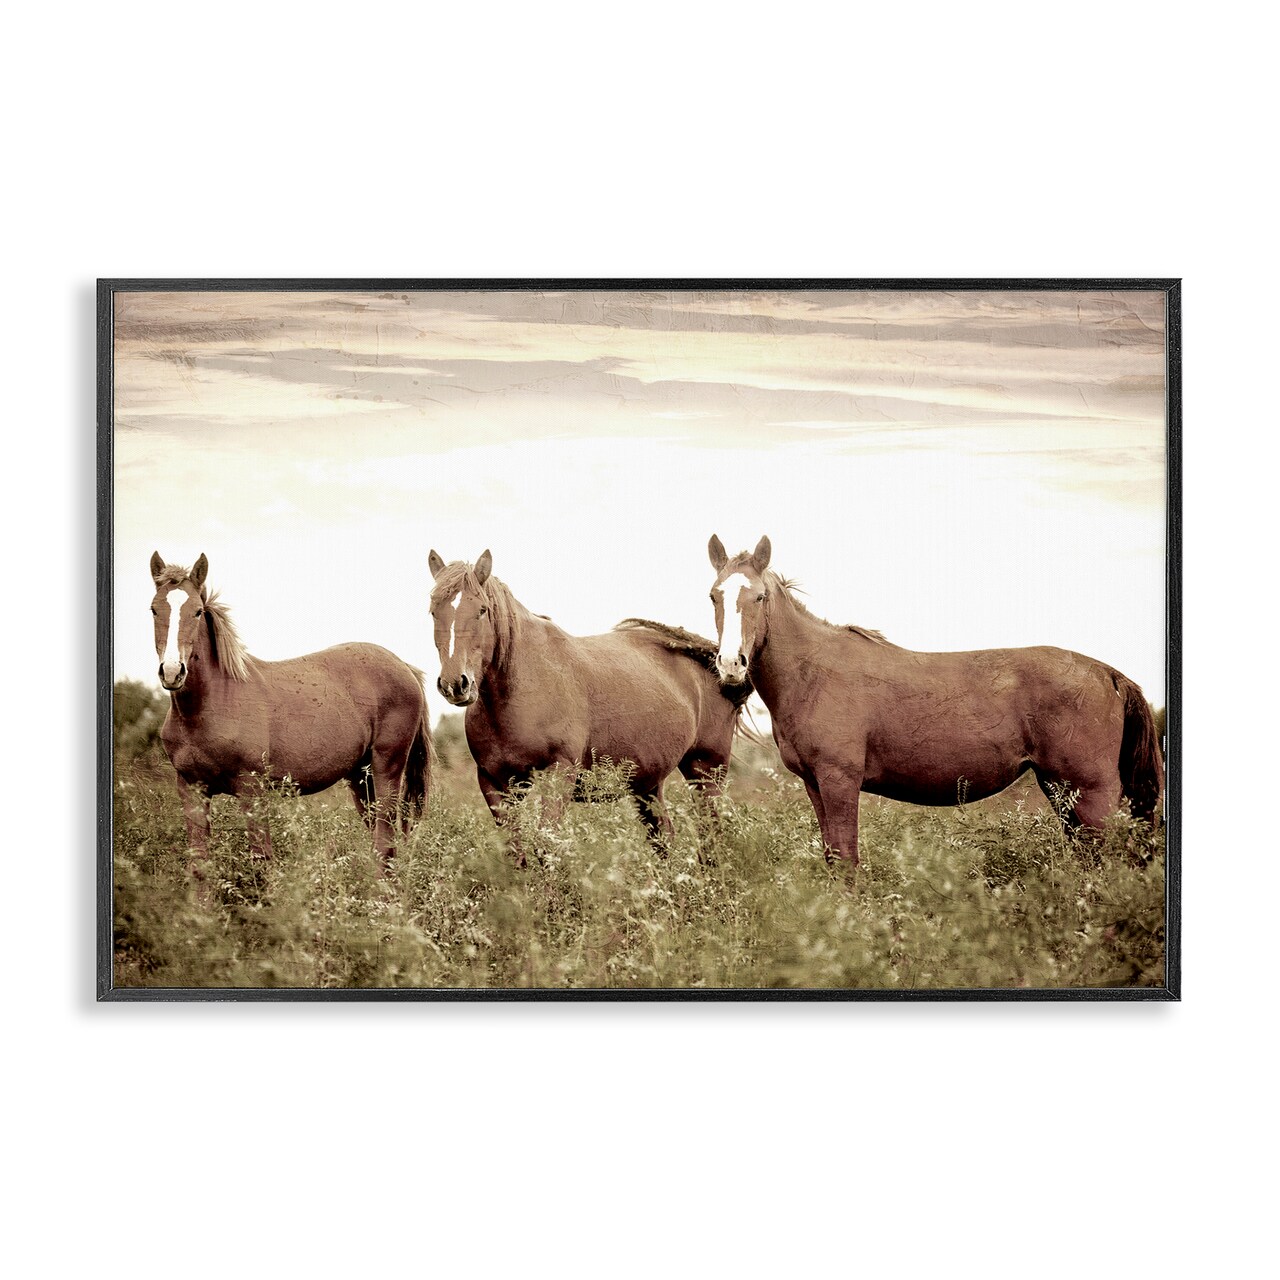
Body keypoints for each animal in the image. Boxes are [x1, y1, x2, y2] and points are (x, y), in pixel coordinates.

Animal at [147, 552, 431, 879]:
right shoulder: (192, 790)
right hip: (360, 777)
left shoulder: (252, 790)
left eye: (196, 612)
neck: (209, 706)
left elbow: (261, 862)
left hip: (386, 770)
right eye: (154, 609)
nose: (172, 672)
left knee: (385, 841)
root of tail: (405, 666)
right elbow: (199, 866)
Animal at [427, 549, 751, 863]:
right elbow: (516, 853)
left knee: (710, 837)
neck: (522, 686)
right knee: (663, 839)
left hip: (705, 772)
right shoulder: (494, 783)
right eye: (433, 610)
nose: (456, 684)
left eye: (481, 609)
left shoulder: (558, 775)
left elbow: (546, 848)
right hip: (647, 785)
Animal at [705, 535, 1164, 867]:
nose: (731, 664)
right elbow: (834, 859)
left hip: (1091, 793)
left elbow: (848, 860)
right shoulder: (815, 784)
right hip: (1061, 791)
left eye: (759, 597)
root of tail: (1108, 673)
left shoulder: (840, 781)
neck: (813, 673)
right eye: (714, 596)